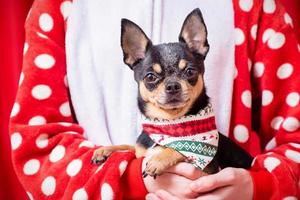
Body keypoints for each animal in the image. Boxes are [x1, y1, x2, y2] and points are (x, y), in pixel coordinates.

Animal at [91, 7, 253, 177]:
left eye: (190, 71)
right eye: (150, 77)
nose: (173, 85)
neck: (168, 123)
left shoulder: (210, 169)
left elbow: (181, 150)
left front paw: (158, 159)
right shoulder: (140, 151)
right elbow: (130, 146)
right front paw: (106, 149)